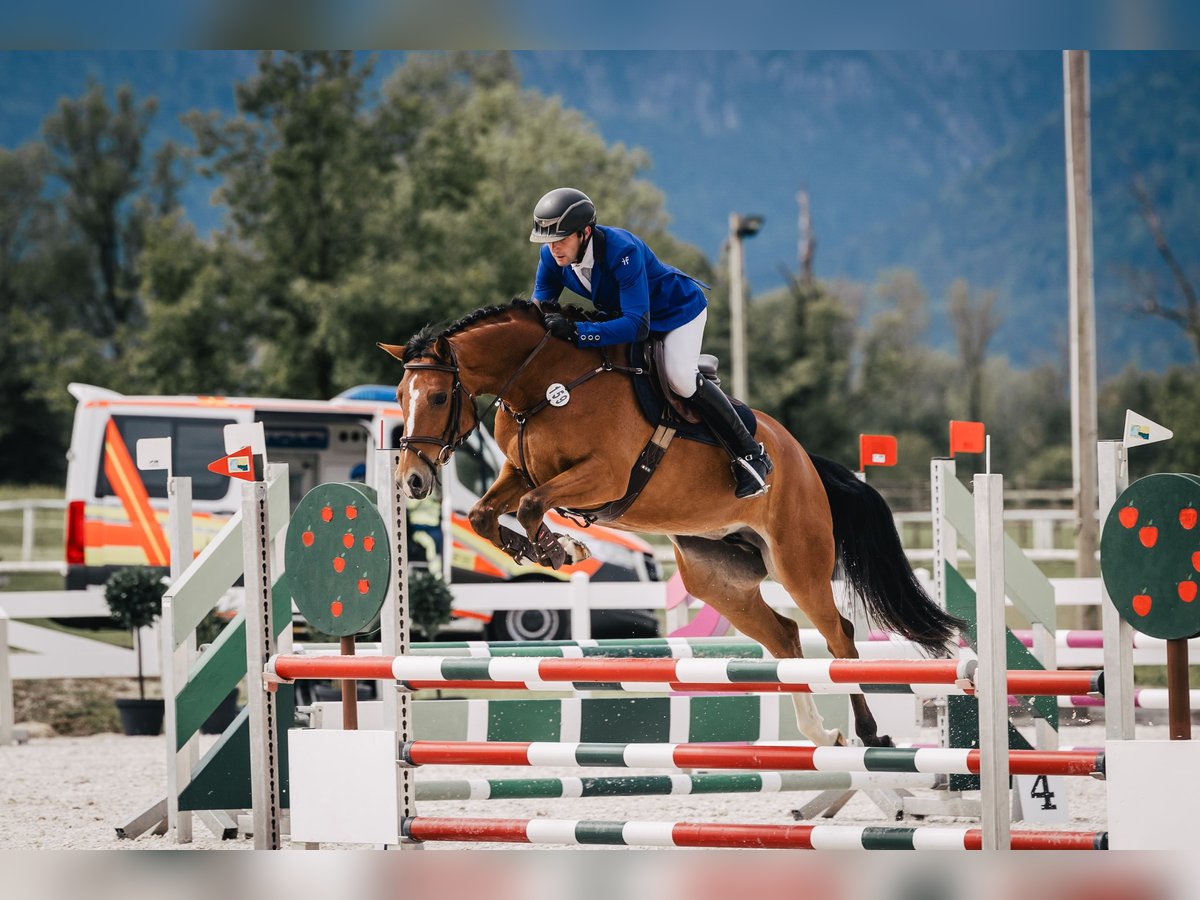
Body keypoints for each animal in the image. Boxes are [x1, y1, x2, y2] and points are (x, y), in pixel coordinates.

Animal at [384, 300, 964, 748]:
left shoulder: (604, 476)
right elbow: (486, 513)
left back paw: (869, 733)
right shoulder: (519, 470)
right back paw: (822, 734)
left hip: (797, 561)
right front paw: (546, 548)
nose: (411, 479)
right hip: (716, 578)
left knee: (839, 635)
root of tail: (804, 461)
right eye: (397, 398)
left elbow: (529, 506)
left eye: (438, 396)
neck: (544, 384)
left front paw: (561, 549)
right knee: (784, 636)